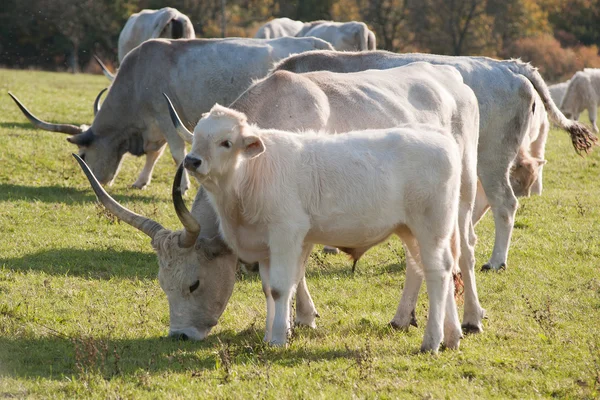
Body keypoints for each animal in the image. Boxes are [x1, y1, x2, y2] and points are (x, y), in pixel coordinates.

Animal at [9, 37, 336, 192]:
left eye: (84, 155)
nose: (100, 183)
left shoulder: (166, 117)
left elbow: (177, 153)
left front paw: (184, 184)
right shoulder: (157, 124)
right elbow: (155, 154)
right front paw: (141, 181)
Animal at [166, 62, 486, 336]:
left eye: (194, 284)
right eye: (163, 284)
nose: (180, 335)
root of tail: (449, 75)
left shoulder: (296, 225)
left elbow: (294, 275)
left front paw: (299, 319)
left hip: (462, 197)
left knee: (464, 252)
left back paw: (472, 318)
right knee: (418, 261)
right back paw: (403, 317)